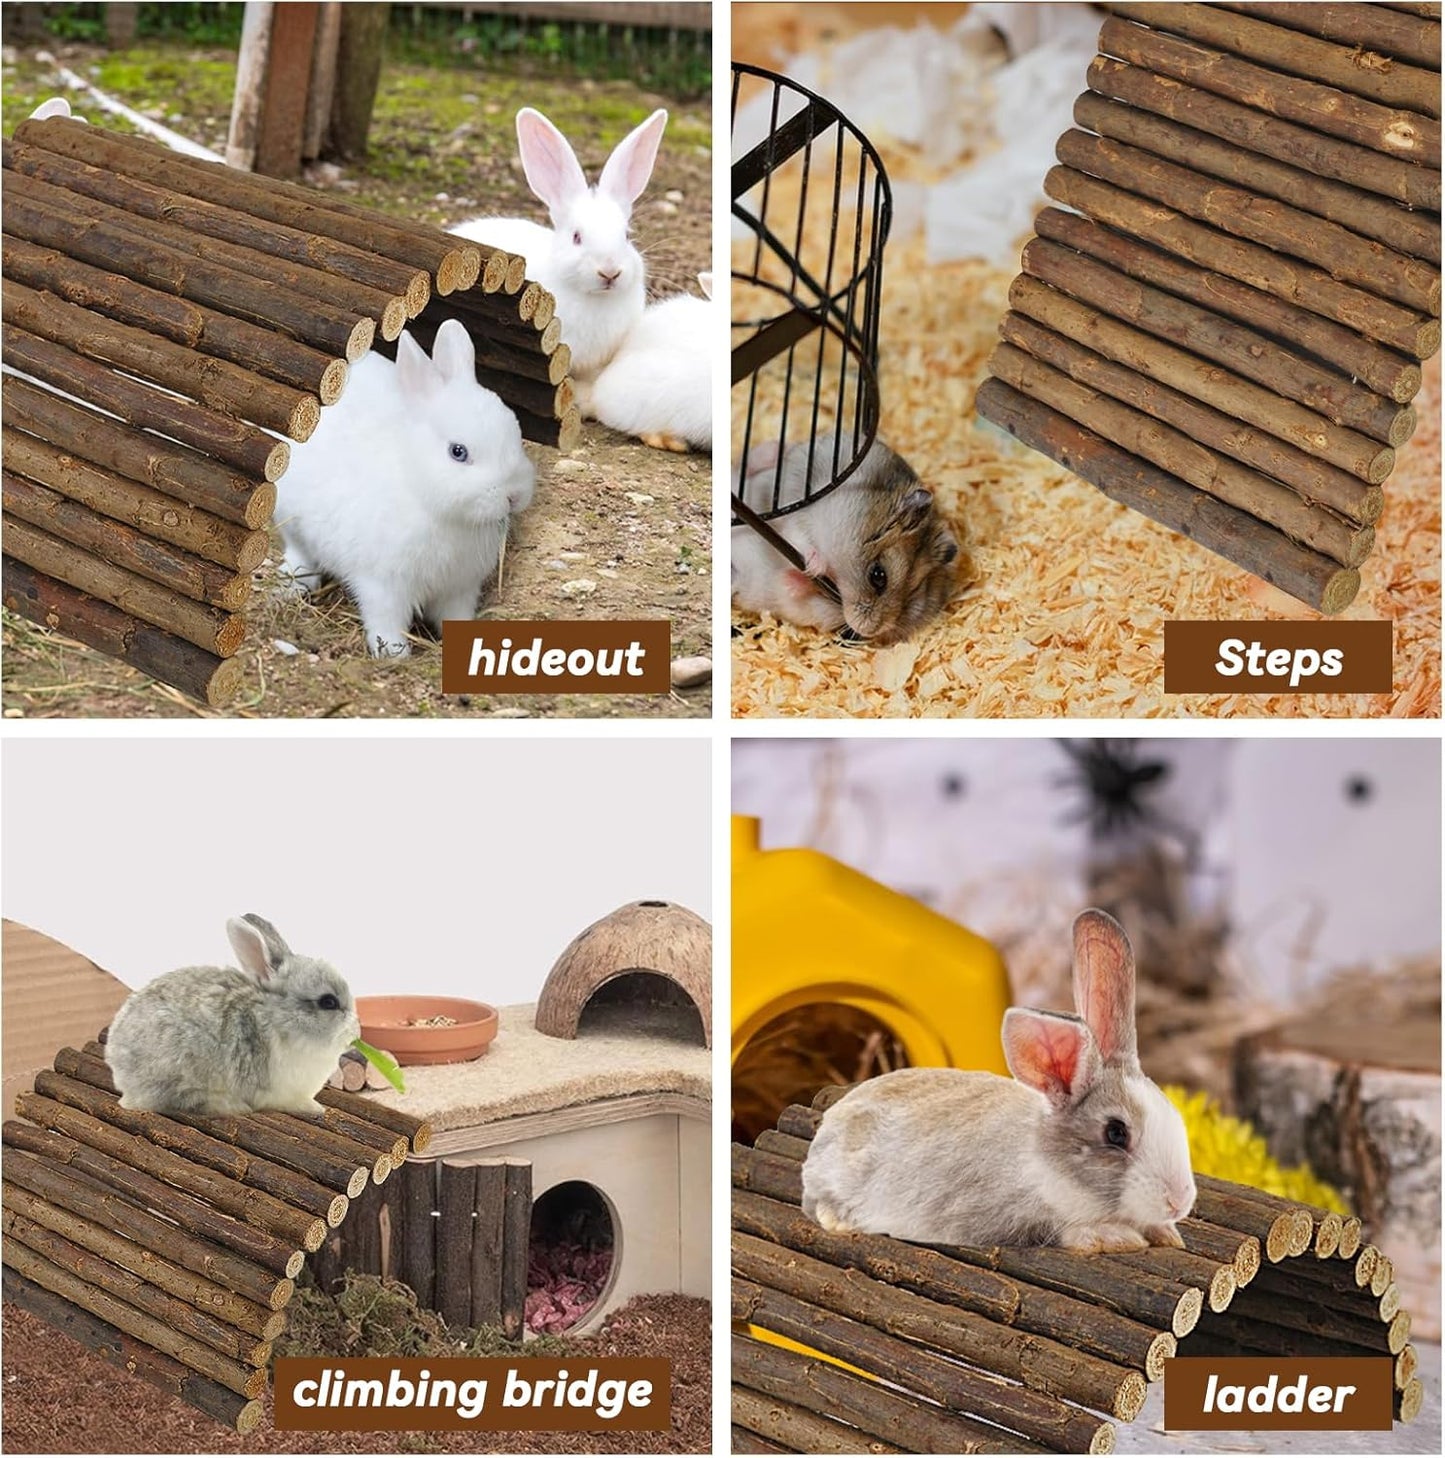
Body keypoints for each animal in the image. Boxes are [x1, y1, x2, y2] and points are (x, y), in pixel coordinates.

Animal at [274, 317, 536, 658]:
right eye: (458, 452)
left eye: (515, 432)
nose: (514, 496)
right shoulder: (383, 586)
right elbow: (386, 622)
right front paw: (395, 654)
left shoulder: (460, 589)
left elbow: (455, 616)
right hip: (290, 522)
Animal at [731, 431, 959, 644]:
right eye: (878, 576)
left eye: (914, 593)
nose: (870, 630)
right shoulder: (799, 515)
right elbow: (800, 538)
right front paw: (814, 565)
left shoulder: (817, 609)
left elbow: (798, 594)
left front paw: (795, 578)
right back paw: (773, 449)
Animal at [801, 909, 1197, 1253]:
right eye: (1116, 1132)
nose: (1179, 1201)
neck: (1043, 1160)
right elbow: (1062, 1230)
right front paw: (1116, 1238)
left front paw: (1165, 1233)